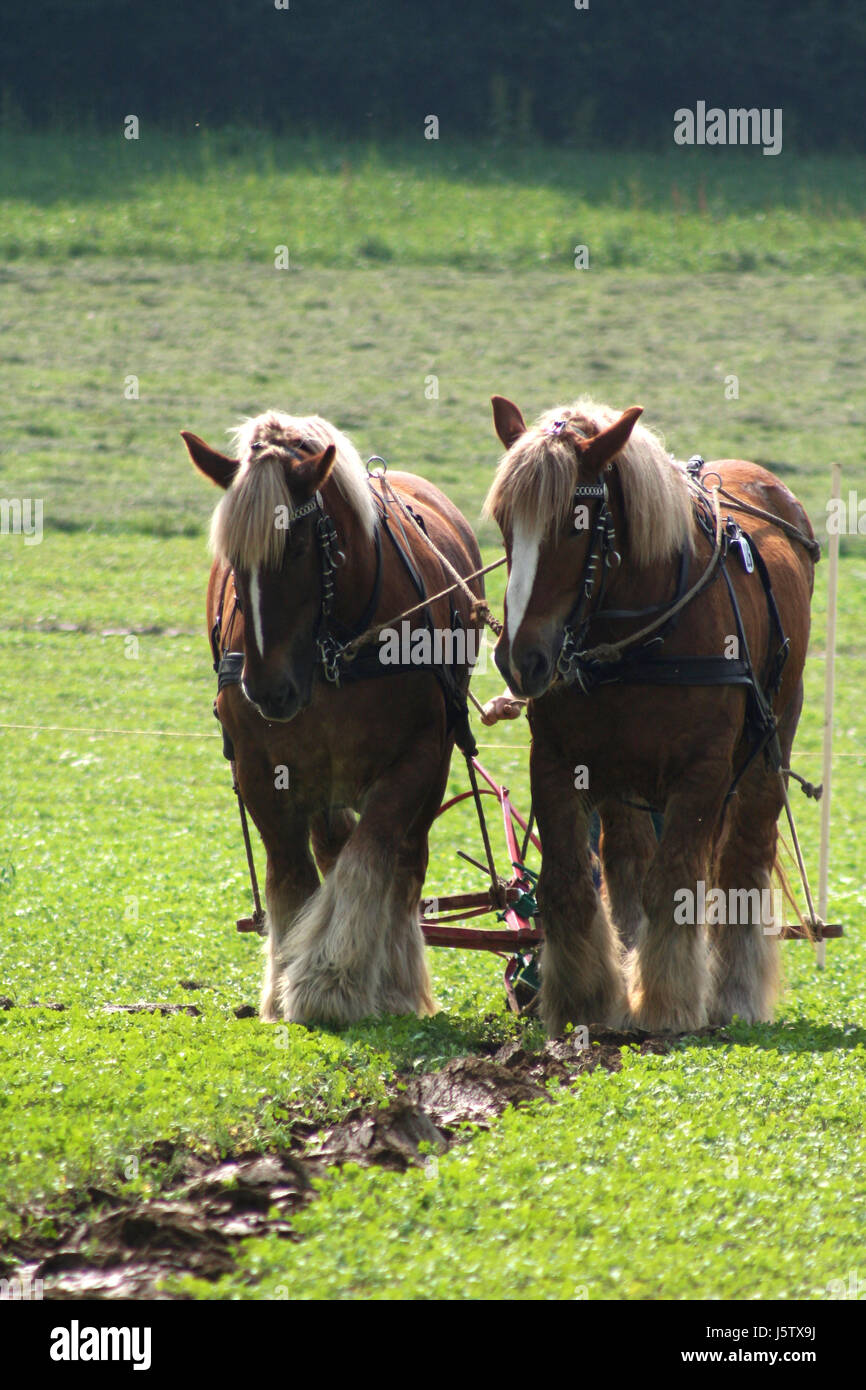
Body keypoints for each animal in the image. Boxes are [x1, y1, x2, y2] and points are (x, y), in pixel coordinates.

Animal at [182, 411, 484, 1025]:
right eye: (230, 558)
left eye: (297, 546)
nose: (266, 690)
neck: (333, 651)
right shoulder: (260, 767)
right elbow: (292, 876)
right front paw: (284, 983)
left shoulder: (417, 758)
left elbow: (372, 857)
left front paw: (332, 977)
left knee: (405, 860)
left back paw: (392, 978)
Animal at [484, 395, 817, 1036]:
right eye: (505, 521)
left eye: (575, 523)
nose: (520, 658)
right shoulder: (559, 763)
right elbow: (571, 882)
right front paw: (585, 1000)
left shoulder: (704, 773)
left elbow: (674, 884)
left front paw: (665, 1002)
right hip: (622, 777)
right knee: (626, 863)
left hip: (769, 747)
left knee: (743, 856)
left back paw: (733, 992)